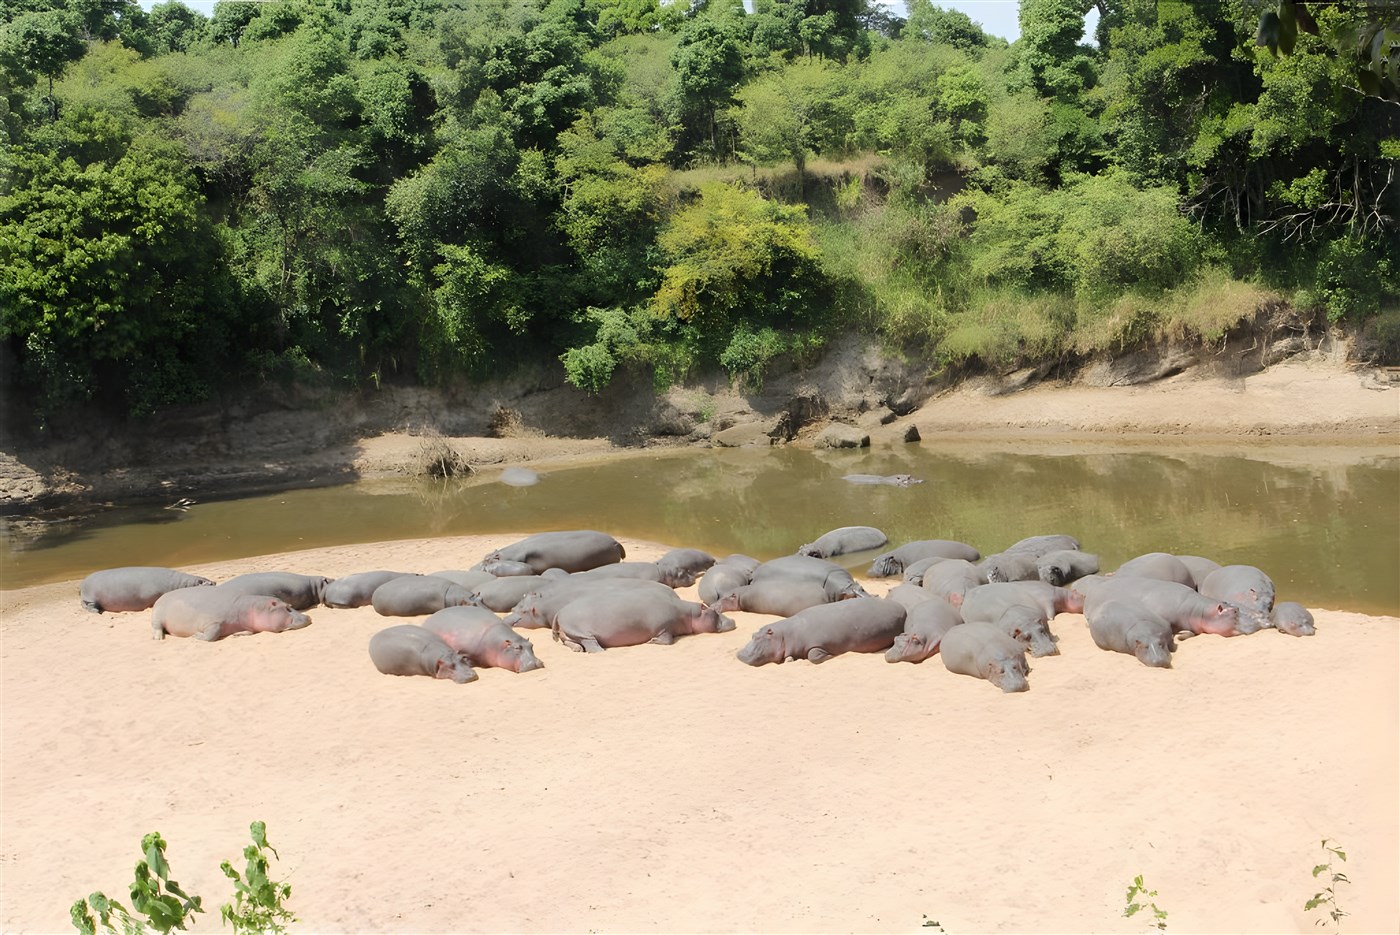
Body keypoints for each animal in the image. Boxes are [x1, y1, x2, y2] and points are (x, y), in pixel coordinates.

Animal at [79, 567, 214, 614]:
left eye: (214, 582)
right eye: (210, 584)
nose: (215, 582)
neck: (184, 584)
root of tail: (83, 582)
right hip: (90, 597)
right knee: (88, 605)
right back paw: (96, 611)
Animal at [152, 588, 311, 641]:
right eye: (287, 607)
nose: (308, 617)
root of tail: (162, 596)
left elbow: (249, 631)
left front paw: (237, 635)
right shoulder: (212, 621)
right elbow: (212, 634)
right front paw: (196, 636)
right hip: (158, 615)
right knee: (157, 626)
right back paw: (158, 638)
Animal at [552, 592, 735, 652]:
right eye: (714, 611)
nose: (733, 620)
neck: (689, 613)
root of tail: (559, 612)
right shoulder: (664, 627)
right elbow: (667, 640)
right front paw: (651, 641)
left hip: (569, 632)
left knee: (569, 642)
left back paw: (577, 649)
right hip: (580, 631)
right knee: (590, 644)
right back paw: (600, 650)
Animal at [736, 597, 906, 666]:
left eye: (759, 638)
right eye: (753, 634)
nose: (740, 654)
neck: (784, 635)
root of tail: (901, 607)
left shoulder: (818, 644)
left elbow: (813, 656)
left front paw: (830, 656)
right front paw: (790, 659)